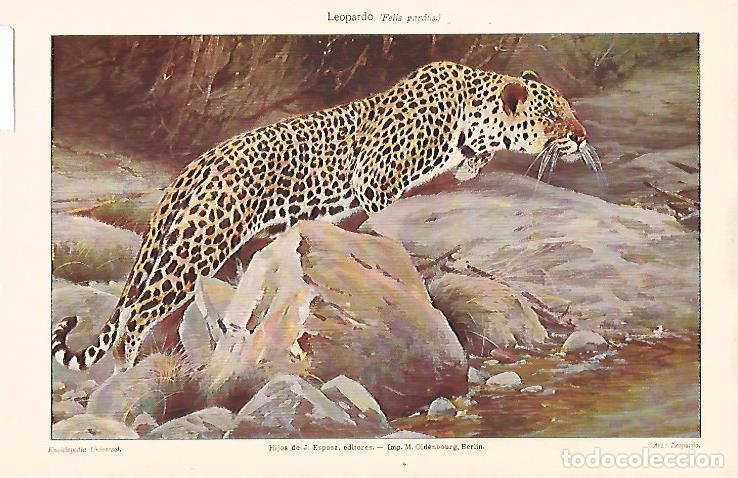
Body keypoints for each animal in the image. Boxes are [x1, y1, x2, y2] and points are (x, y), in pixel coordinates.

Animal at [52, 61, 602, 373]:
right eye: (553, 117)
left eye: (569, 111)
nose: (581, 136)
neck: (472, 116)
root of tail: (196, 166)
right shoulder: (375, 180)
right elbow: (385, 221)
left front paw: (471, 167)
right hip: (197, 247)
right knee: (134, 316)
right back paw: (125, 369)